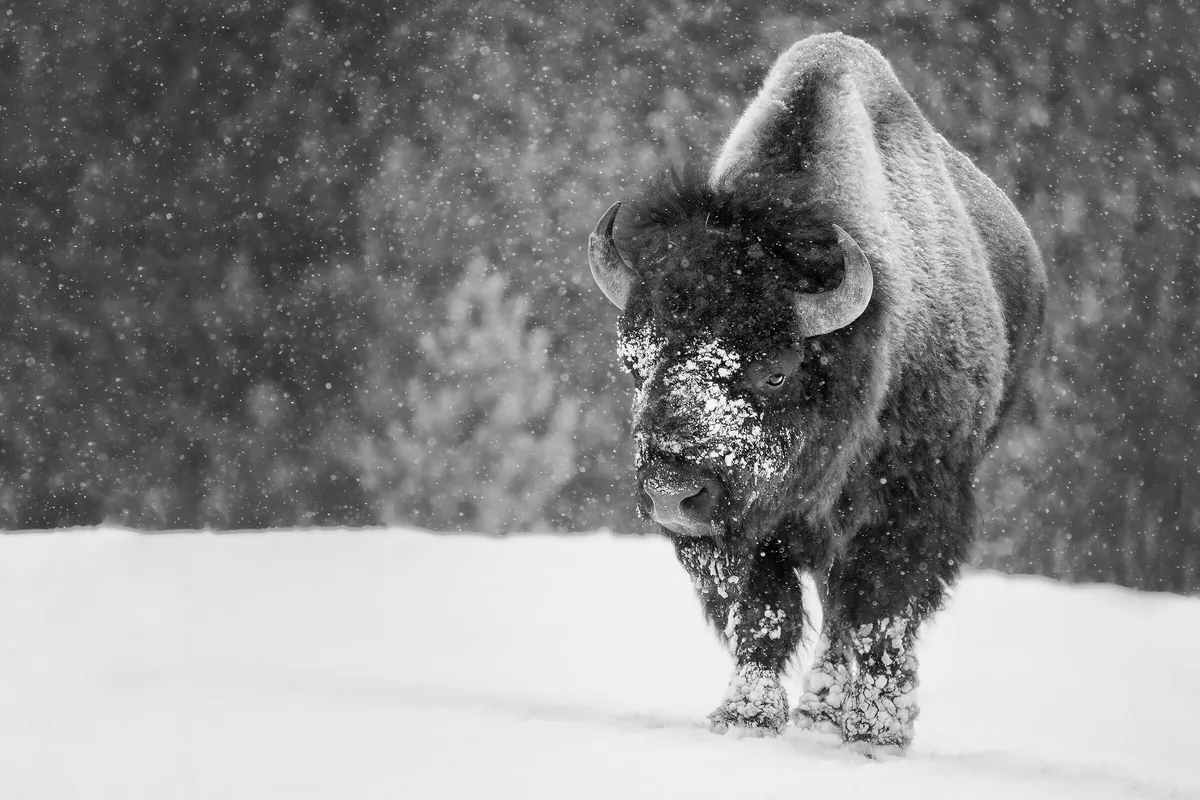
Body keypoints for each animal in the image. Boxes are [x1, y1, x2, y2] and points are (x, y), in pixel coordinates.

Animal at [587, 33, 1045, 754]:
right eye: (637, 363)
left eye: (775, 371)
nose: (671, 495)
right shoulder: (742, 532)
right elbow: (763, 614)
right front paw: (744, 715)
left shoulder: (914, 505)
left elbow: (880, 614)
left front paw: (877, 729)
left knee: (858, 614)